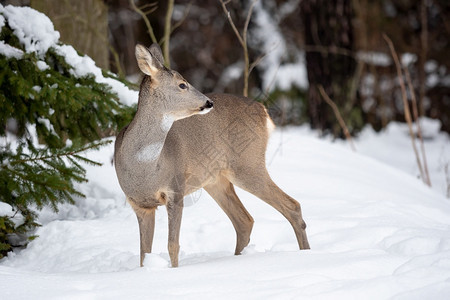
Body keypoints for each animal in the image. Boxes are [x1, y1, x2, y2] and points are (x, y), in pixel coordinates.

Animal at [114, 42, 310, 268]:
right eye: (182, 85)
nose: (209, 102)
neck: (144, 168)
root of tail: (264, 111)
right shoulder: (139, 204)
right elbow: (144, 253)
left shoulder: (175, 189)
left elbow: (173, 245)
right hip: (215, 179)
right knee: (244, 220)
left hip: (247, 164)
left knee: (292, 205)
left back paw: (306, 254)